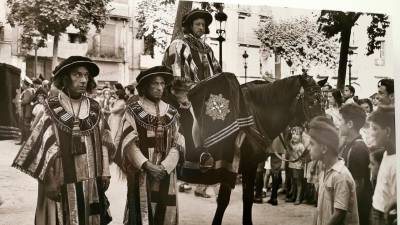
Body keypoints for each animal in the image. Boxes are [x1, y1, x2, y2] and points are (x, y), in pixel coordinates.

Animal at [167, 73, 324, 224]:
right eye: (311, 101)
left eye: (323, 101)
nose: (325, 131)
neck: (253, 118)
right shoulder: (232, 167)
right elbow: (225, 201)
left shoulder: (247, 167)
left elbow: (246, 198)